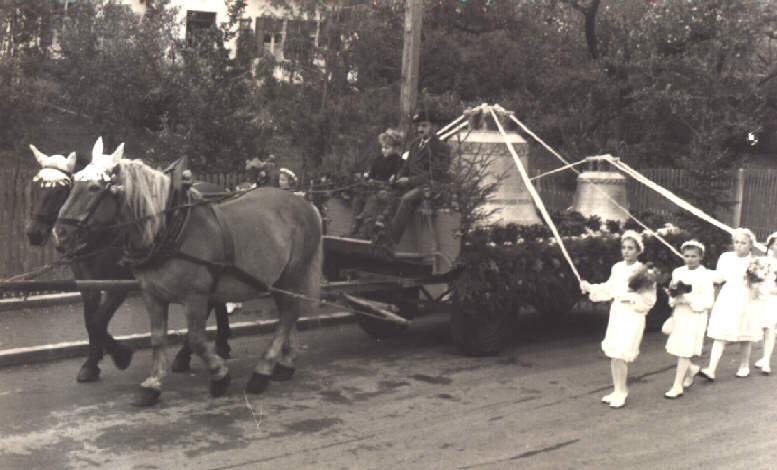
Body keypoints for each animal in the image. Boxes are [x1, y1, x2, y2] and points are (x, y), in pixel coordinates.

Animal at [28, 139, 233, 382]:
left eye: (61, 188)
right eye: (35, 186)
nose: (34, 233)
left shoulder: (118, 285)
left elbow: (98, 321)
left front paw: (120, 355)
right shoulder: (87, 283)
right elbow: (90, 320)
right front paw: (92, 363)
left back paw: (186, 355)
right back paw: (219, 344)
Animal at [53, 152, 322, 406]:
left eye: (94, 188)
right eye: (73, 183)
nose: (60, 233)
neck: (169, 228)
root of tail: (305, 203)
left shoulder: (194, 295)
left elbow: (196, 338)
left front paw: (219, 376)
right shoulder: (151, 293)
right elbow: (156, 338)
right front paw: (151, 384)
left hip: (292, 273)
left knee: (288, 314)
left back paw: (262, 371)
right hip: (276, 279)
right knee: (288, 313)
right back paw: (284, 363)